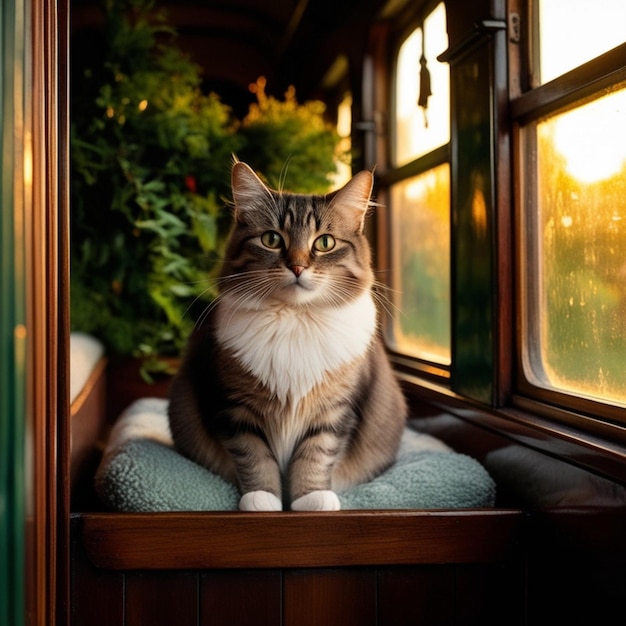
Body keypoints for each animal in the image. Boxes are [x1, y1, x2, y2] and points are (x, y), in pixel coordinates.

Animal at [168, 158, 408, 510]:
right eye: (271, 239)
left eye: (324, 243)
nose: (297, 267)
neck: (295, 318)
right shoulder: (236, 407)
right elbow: (255, 458)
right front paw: (263, 500)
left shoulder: (334, 410)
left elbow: (315, 456)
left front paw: (311, 499)